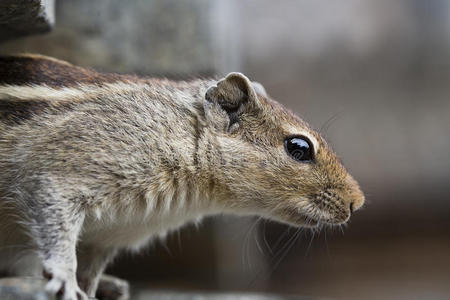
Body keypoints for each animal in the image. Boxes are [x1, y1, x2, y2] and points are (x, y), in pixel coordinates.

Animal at [0, 54, 366, 300]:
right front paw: (65, 277)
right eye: (298, 148)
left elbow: (90, 266)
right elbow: (56, 218)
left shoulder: (106, 236)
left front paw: (89, 288)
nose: (357, 202)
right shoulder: (66, 173)